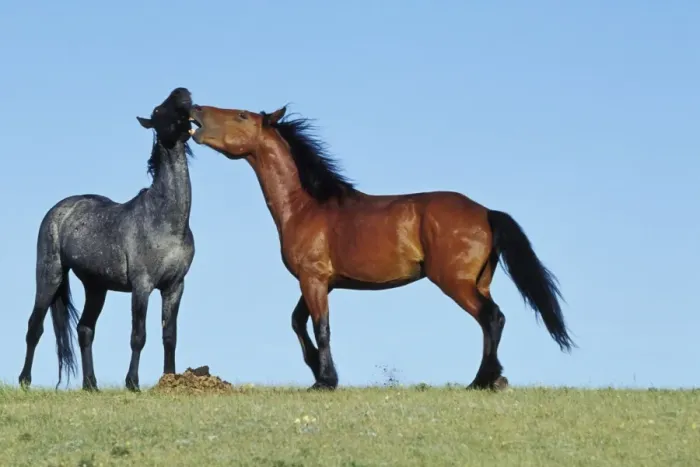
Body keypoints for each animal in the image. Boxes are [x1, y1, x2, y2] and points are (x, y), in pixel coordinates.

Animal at [19, 87, 197, 391]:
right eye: (158, 111)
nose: (182, 92)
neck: (166, 220)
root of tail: (59, 210)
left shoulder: (175, 286)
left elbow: (169, 336)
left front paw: (169, 379)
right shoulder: (142, 286)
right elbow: (139, 335)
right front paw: (132, 383)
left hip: (96, 287)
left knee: (85, 329)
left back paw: (91, 384)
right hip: (50, 275)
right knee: (35, 327)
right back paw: (25, 380)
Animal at [188, 103, 574, 390]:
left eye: (242, 115)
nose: (195, 109)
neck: (305, 205)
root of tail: (486, 212)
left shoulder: (314, 280)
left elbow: (321, 326)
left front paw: (326, 380)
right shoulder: (319, 281)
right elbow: (298, 322)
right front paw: (316, 371)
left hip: (455, 282)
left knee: (492, 318)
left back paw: (483, 381)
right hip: (479, 282)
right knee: (490, 321)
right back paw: (493, 378)